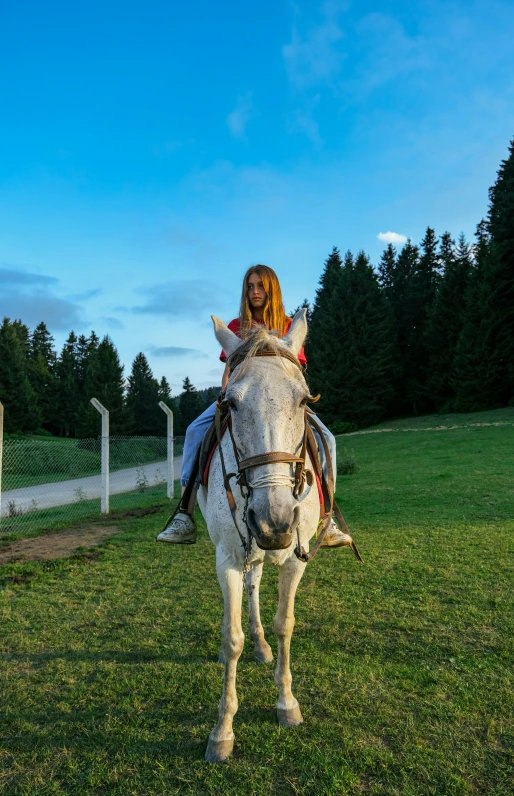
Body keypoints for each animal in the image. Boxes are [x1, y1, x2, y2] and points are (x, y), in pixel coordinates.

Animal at [197, 308, 320, 760]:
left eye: (302, 400)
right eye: (230, 402)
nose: (274, 522)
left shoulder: (294, 561)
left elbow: (286, 624)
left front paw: (286, 704)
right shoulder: (228, 558)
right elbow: (231, 636)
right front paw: (222, 731)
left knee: (254, 586)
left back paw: (262, 644)